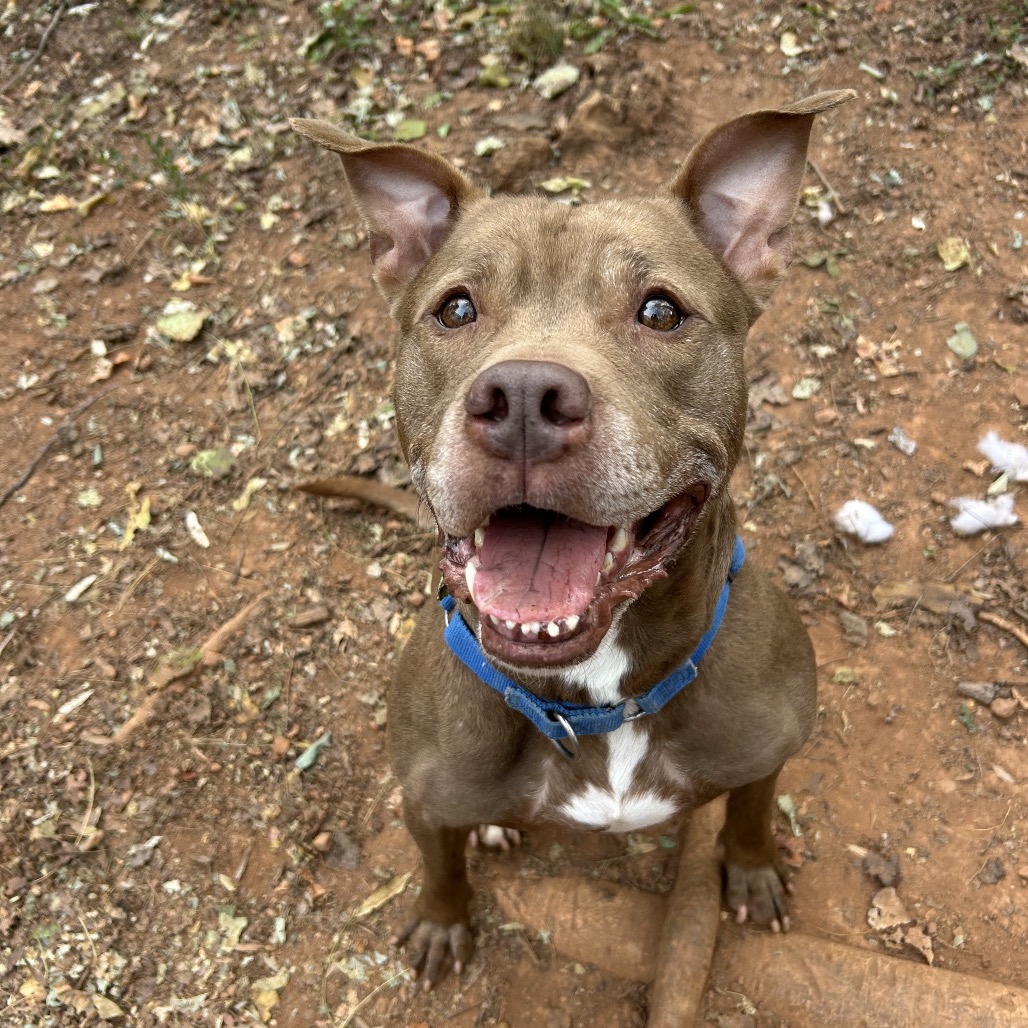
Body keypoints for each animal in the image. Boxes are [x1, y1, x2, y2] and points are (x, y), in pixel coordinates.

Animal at [292, 87, 854, 990]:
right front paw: (443, 923)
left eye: (660, 310)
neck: (599, 700)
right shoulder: (425, 797)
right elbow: (440, 865)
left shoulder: (767, 749)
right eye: (456, 308)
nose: (523, 396)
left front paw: (752, 869)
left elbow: (753, 812)